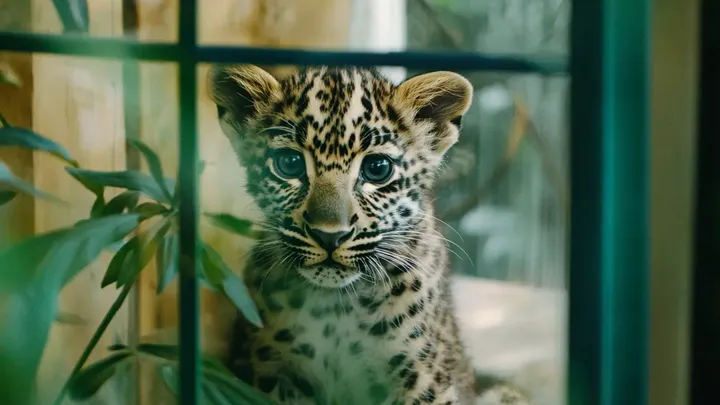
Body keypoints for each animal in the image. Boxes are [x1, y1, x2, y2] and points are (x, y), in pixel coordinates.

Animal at [208, 64, 531, 405]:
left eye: (377, 168)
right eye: (289, 164)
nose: (329, 235)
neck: (337, 308)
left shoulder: (425, 381)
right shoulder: (269, 371)